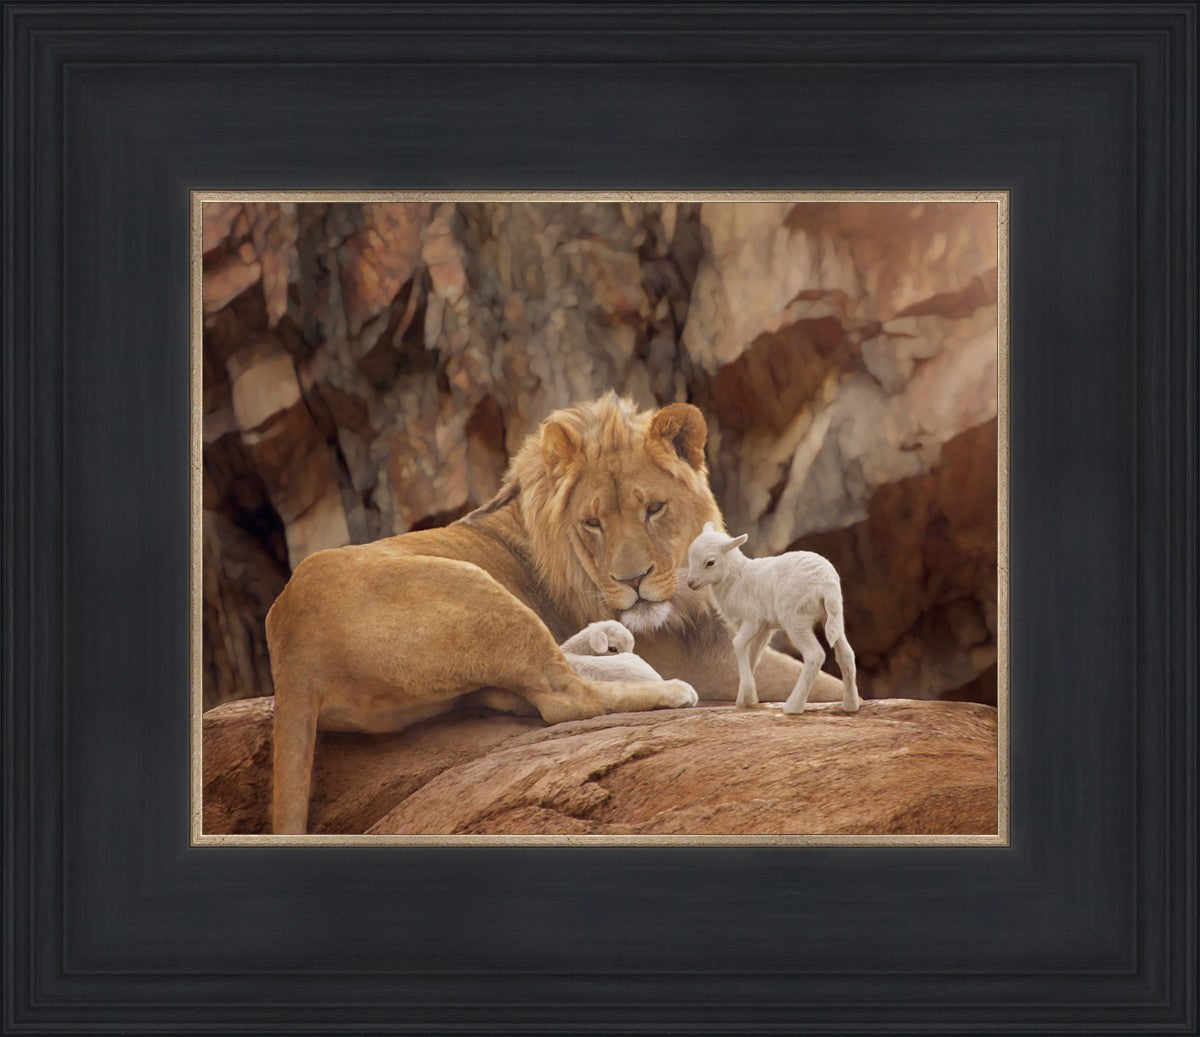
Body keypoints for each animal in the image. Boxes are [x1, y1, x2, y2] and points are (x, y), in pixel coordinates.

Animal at [685, 523, 859, 715]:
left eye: (710, 562)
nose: (690, 583)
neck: (737, 577)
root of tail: (827, 583)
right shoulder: (764, 628)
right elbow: (753, 655)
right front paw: (747, 697)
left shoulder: (752, 619)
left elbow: (738, 644)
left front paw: (746, 695)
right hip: (833, 616)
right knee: (846, 654)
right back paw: (850, 705)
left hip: (795, 618)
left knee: (815, 656)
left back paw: (793, 706)